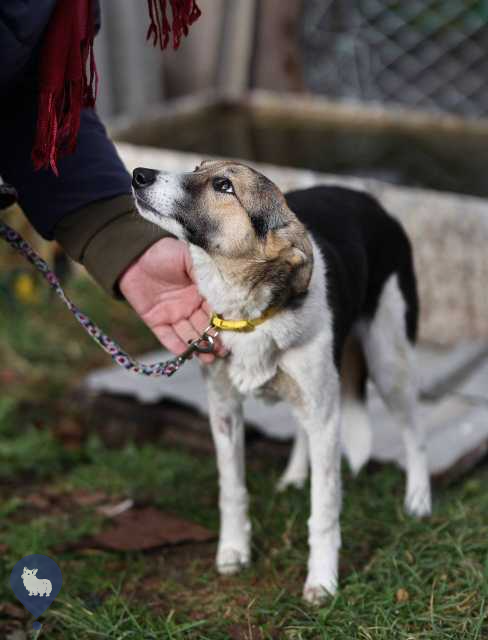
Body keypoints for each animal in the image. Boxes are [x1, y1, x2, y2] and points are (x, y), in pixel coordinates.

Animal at [131, 160, 430, 604]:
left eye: (224, 186)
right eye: (198, 167)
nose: (138, 173)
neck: (248, 314)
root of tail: (372, 200)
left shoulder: (327, 419)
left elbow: (324, 510)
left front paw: (322, 580)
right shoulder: (224, 410)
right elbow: (231, 490)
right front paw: (233, 551)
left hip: (389, 360)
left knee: (414, 430)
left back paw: (419, 499)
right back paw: (293, 476)